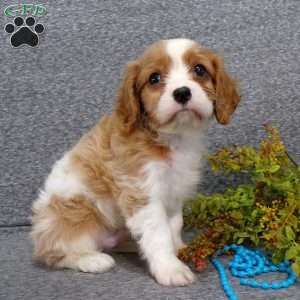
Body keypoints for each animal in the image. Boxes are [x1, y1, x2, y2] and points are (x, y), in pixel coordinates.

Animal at [31, 37, 239, 286]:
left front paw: (178, 249)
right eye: (154, 78)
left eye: (199, 70)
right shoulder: (141, 193)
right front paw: (170, 268)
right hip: (75, 214)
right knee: (55, 252)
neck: (171, 137)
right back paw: (91, 259)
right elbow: (158, 234)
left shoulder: (174, 191)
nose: (181, 93)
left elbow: (174, 225)